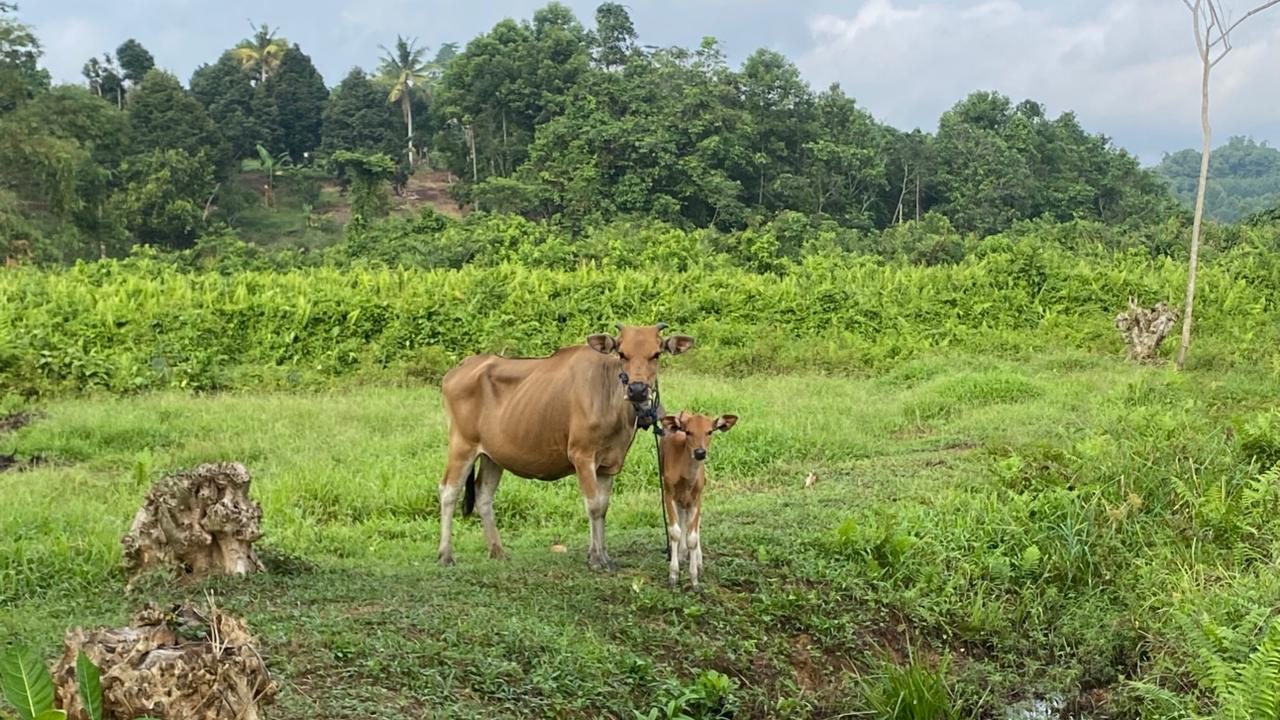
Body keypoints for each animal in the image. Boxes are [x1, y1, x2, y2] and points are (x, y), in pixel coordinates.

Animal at [437, 324, 696, 566]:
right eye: (622, 354)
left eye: (656, 354)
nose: (637, 389)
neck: (607, 397)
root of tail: (458, 369)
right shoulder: (582, 456)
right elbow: (592, 506)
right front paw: (596, 558)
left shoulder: (607, 464)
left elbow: (603, 507)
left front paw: (603, 554)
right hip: (462, 445)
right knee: (449, 491)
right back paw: (446, 554)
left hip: (493, 455)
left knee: (483, 495)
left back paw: (497, 551)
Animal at [660, 412, 742, 586]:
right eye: (688, 431)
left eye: (709, 431)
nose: (700, 452)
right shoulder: (669, 493)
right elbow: (675, 532)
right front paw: (673, 575)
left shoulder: (697, 498)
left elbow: (693, 536)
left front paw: (695, 578)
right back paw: (682, 554)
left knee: (695, 526)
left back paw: (697, 561)